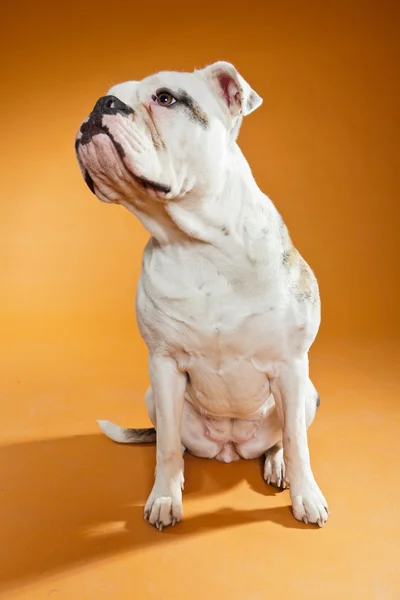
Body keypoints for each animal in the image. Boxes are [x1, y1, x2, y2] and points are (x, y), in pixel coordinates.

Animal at [74, 61, 328, 528]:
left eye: (166, 98)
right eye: (108, 94)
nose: (103, 104)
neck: (199, 243)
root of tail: (231, 448)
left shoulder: (290, 365)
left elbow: (297, 443)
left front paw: (306, 497)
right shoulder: (164, 365)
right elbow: (166, 447)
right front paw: (164, 497)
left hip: (308, 394)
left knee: (282, 437)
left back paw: (276, 464)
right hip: (153, 395)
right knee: (174, 441)